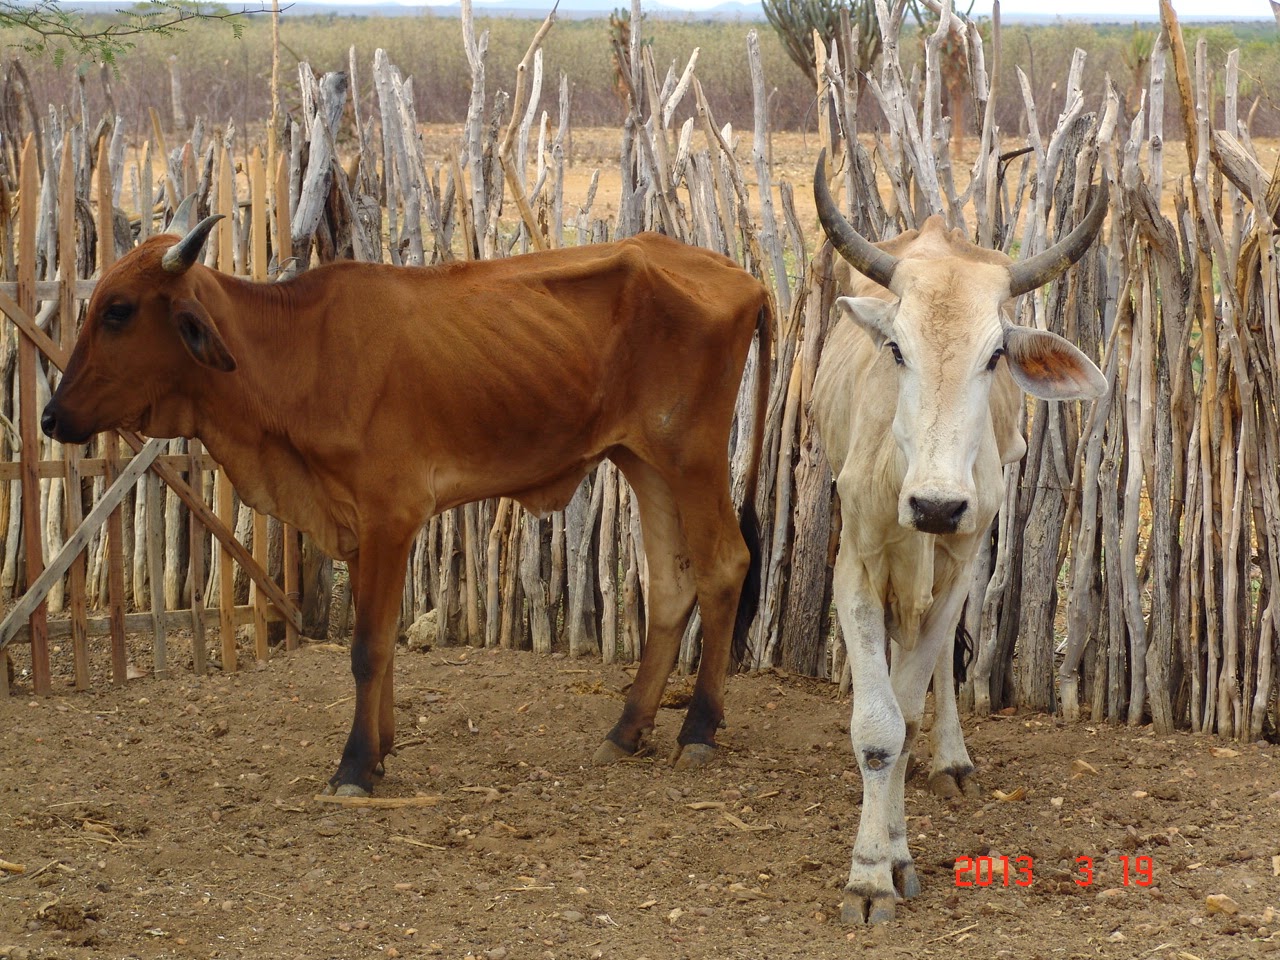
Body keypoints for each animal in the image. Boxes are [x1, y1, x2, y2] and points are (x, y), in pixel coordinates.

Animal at [45, 208, 768, 798]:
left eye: (119, 310)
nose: (51, 417)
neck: (299, 352)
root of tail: (745, 278)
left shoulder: (391, 514)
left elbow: (368, 646)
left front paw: (354, 766)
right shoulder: (357, 524)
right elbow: (384, 643)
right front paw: (382, 750)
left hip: (692, 455)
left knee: (724, 567)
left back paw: (697, 730)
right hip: (643, 461)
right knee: (671, 585)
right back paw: (626, 730)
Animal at [814, 154, 1105, 926]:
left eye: (996, 355)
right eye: (895, 347)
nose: (938, 505)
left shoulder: (961, 556)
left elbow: (908, 713)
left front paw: (890, 858)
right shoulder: (856, 565)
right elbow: (878, 728)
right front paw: (869, 876)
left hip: (968, 557)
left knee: (943, 656)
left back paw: (950, 760)